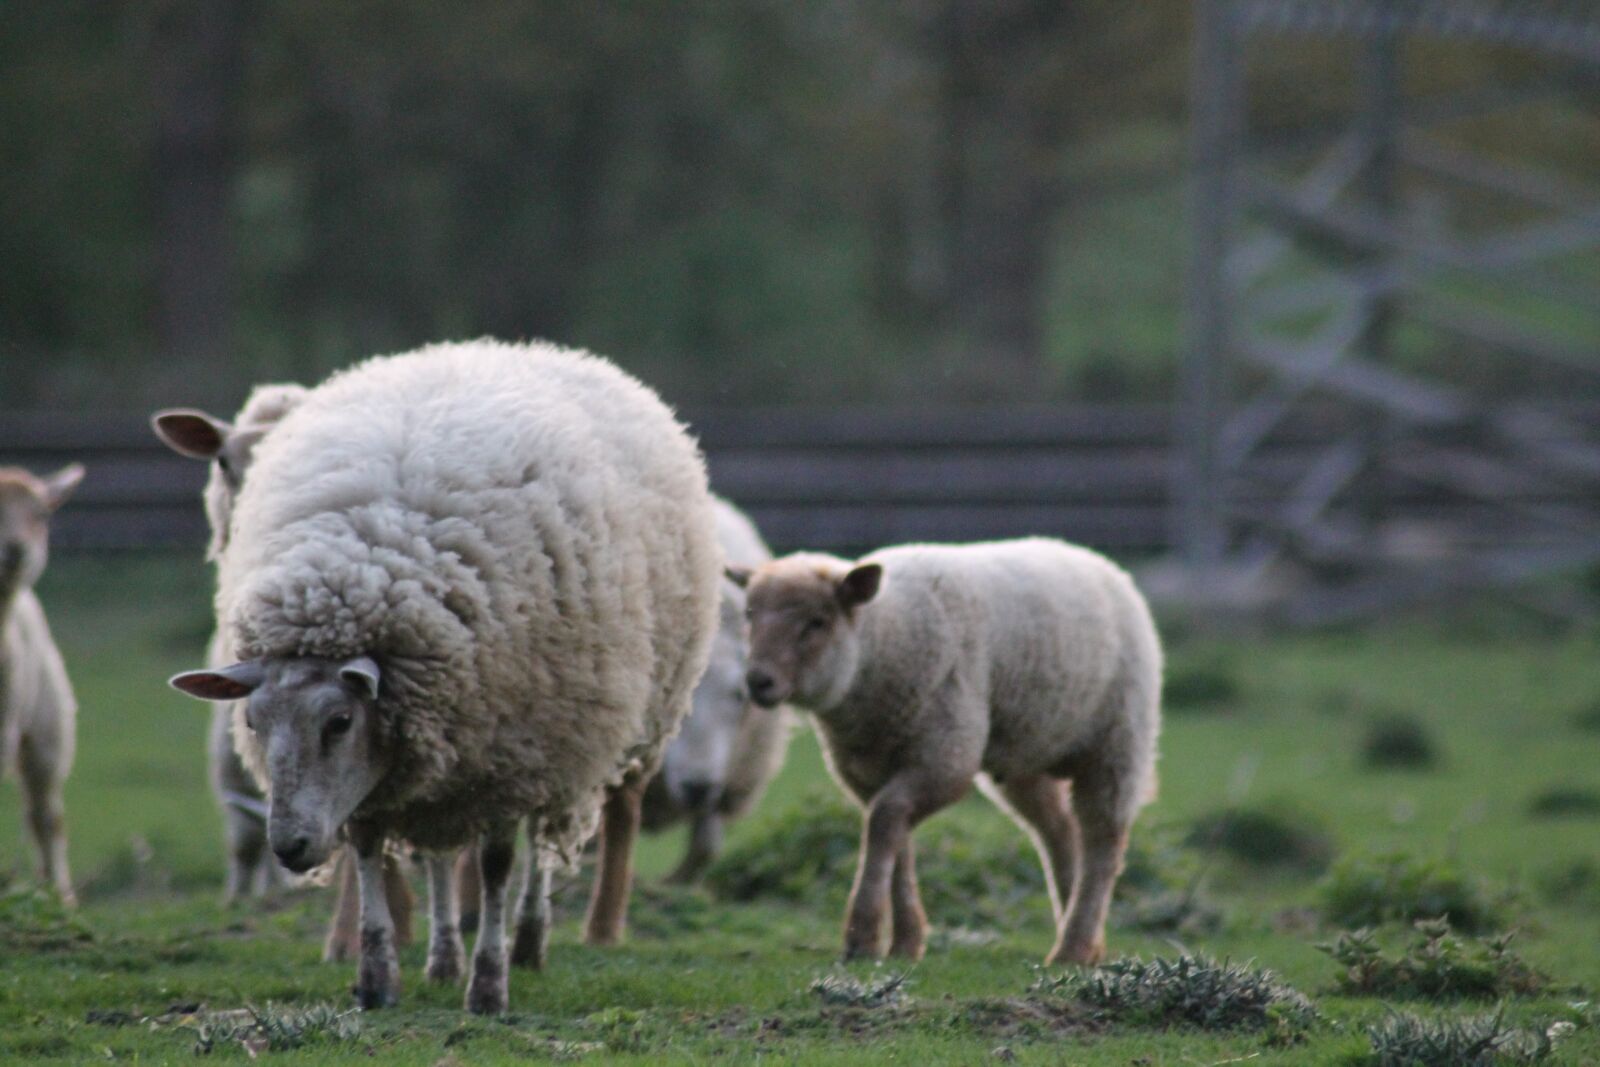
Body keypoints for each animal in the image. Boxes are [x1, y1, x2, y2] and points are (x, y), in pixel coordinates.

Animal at [640, 497, 792, 883]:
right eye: (673, 699)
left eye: (740, 694)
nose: (698, 788)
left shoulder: (732, 773)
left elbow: (706, 849)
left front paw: (672, 886)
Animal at [731, 537, 1161, 966]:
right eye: (749, 614)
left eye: (818, 621)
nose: (758, 681)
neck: (886, 637)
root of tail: (1095, 559)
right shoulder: (865, 769)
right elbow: (892, 833)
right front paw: (905, 941)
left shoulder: (947, 755)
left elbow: (885, 821)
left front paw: (862, 937)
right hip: (1029, 755)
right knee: (1058, 831)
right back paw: (1084, 940)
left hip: (1119, 741)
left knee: (1103, 841)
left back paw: (1074, 946)